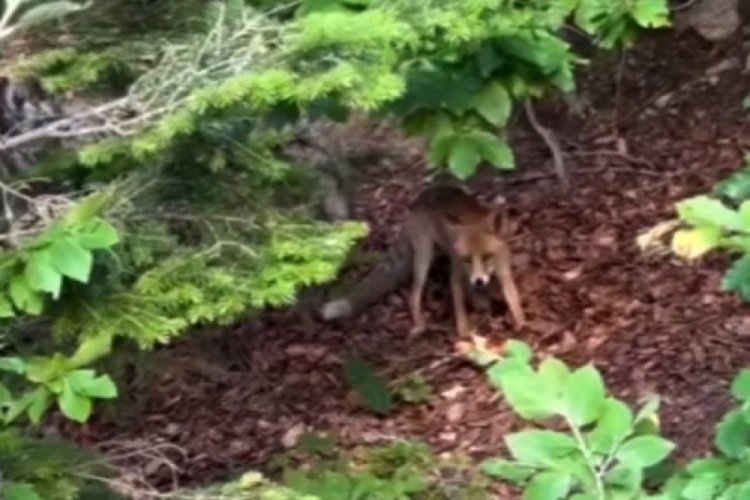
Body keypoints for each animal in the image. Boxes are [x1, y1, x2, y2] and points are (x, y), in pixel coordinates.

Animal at [320, 184, 524, 340]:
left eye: (488, 256)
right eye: (466, 259)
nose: (479, 281)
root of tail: (418, 201)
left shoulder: (503, 272)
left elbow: (513, 299)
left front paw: (520, 323)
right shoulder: (457, 274)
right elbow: (459, 309)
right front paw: (464, 334)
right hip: (424, 256)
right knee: (413, 296)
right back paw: (419, 325)